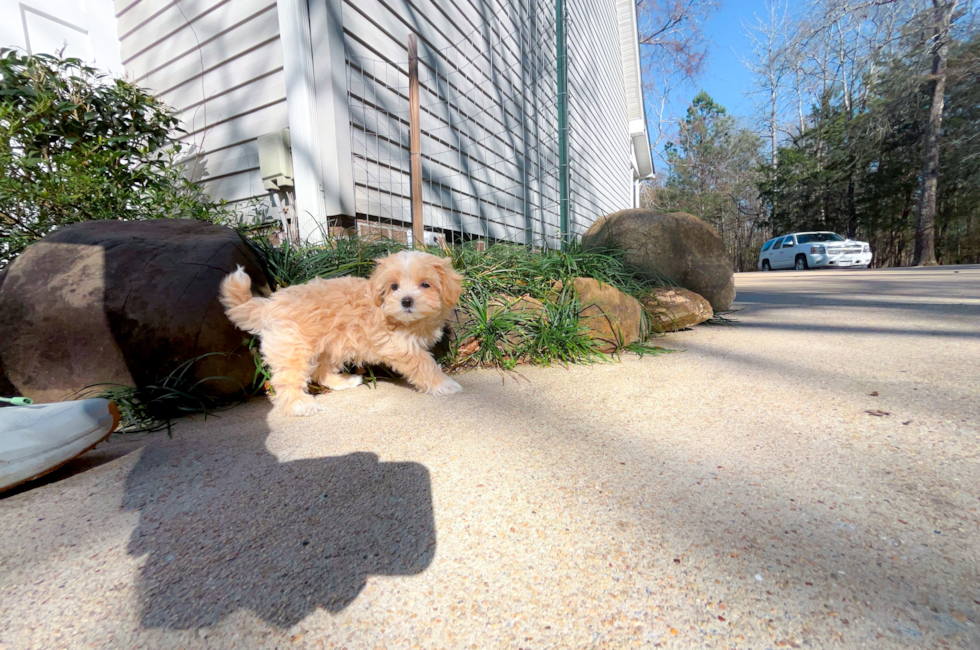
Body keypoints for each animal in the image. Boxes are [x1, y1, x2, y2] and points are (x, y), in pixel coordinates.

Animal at [220, 248, 466, 416]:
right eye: (394, 287)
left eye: (425, 285)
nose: (406, 301)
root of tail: (270, 303)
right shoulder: (398, 344)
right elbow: (423, 363)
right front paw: (443, 383)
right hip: (293, 349)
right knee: (287, 379)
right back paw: (299, 404)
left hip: (331, 347)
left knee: (320, 372)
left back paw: (344, 382)